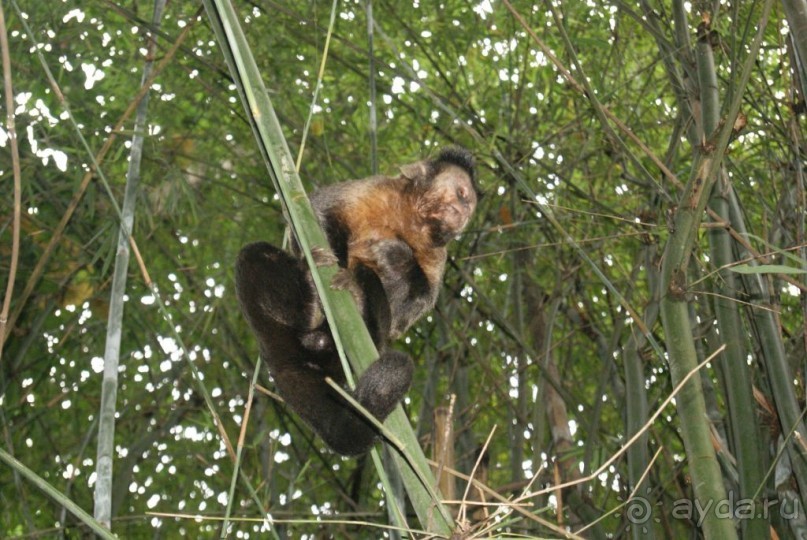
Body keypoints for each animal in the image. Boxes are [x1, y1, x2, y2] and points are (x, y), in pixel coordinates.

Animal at [237, 147, 482, 456]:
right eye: (461, 193)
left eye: (468, 202)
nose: (465, 209)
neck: (412, 221)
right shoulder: (378, 188)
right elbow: (315, 209)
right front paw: (331, 257)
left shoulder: (437, 254)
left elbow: (405, 316)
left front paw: (397, 257)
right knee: (253, 255)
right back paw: (309, 303)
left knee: (373, 291)